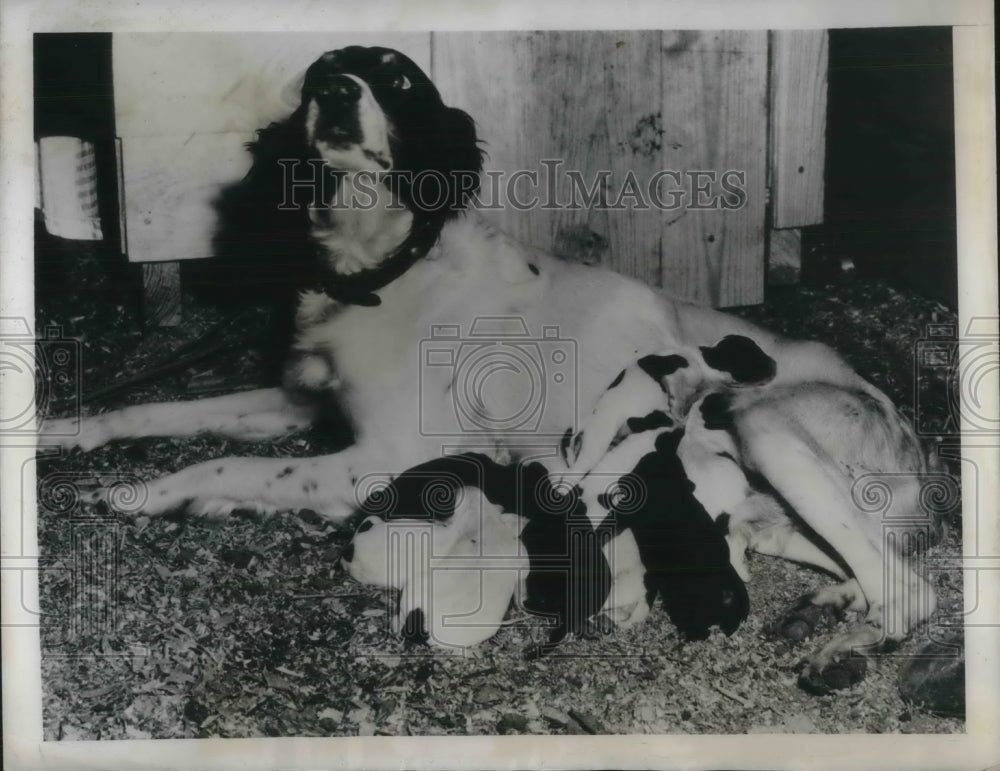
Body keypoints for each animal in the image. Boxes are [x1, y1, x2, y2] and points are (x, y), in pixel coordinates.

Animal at [41, 45, 944, 692]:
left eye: (396, 77)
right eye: (319, 70)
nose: (335, 89)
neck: (381, 269)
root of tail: (908, 438)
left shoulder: (380, 455)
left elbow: (230, 461)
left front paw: (150, 490)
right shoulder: (303, 401)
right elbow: (157, 412)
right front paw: (68, 432)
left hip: (759, 420)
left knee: (913, 589)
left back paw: (843, 645)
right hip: (763, 502)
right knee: (854, 559)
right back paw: (829, 607)